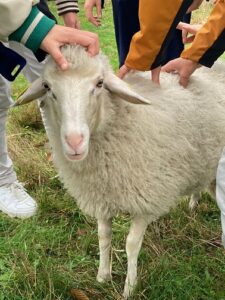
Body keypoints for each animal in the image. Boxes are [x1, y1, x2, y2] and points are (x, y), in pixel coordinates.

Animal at [15, 45, 225, 298]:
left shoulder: (146, 200)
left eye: (99, 84)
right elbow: (103, 237)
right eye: (47, 87)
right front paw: (102, 276)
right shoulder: (102, 198)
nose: (74, 142)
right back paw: (193, 203)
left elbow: (131, 244)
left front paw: (129, 287)